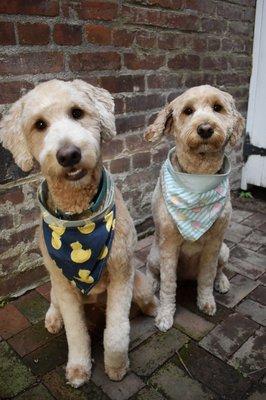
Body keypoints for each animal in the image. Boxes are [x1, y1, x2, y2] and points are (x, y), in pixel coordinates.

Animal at [0, 78, 157, 388]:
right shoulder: (63, 284)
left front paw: (116, 366)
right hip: (57, 283)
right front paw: (78, 368)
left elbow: (117, 332)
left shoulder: (122, 274)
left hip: (140, 284)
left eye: (77, 112)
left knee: (146, 297)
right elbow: (75, 332)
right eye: (39, 125)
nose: (69, 154)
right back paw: (53, 318)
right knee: (53, 299)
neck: (79, 219)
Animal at [144, 84, 244, 332]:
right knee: (152, 271)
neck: (199, 176)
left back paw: (222, 281)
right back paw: (151, 283)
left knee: (218, 270)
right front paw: (165, 315)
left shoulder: (214, 244)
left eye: (217, 108)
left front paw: (206, 301)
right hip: (155, 255)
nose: (205, 128)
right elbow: (168, 285)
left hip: (224, 251)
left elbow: (207, 277)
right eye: (188, 111)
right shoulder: (168, 246)